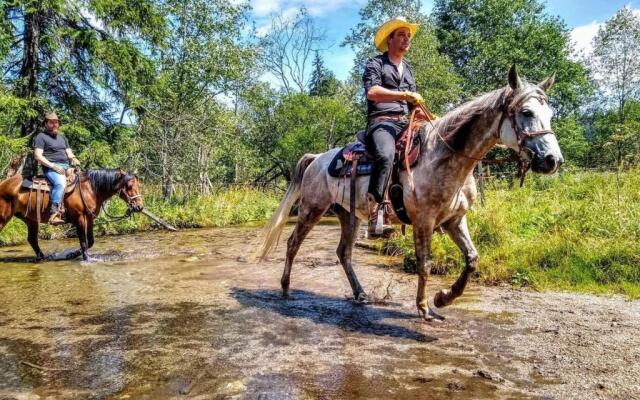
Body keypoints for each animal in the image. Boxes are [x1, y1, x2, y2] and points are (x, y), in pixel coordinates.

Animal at [0, 165, 142, 260]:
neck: (90, 189)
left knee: (32, 240)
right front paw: (86, 259)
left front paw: (71, 254)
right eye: (129, 186)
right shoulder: (79, 218)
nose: (139, 206)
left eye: (138, 185)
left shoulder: (89, 218)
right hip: (3, 217)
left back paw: (43, 258)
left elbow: (90, 241)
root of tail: (3, 183)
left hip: (31, 219)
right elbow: (84, 242)